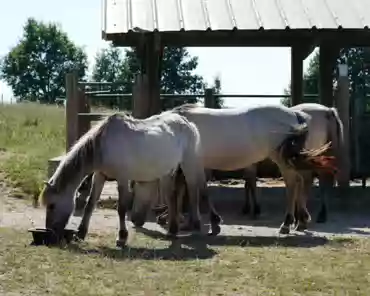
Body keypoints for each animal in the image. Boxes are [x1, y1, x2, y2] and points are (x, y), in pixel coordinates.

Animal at [38, 110, 214, 246]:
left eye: (52, 205)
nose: (50, 231)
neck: (104, 144)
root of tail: (187, 122)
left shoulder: (122, 179)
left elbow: (121, 208)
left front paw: (121, 238)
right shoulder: (100, 176)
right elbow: (90, 204)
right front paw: (80, 234)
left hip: (189, 163)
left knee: (194, 188)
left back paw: (202, 225)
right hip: (166, 172)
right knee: (172, 196)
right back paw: (172, 230)